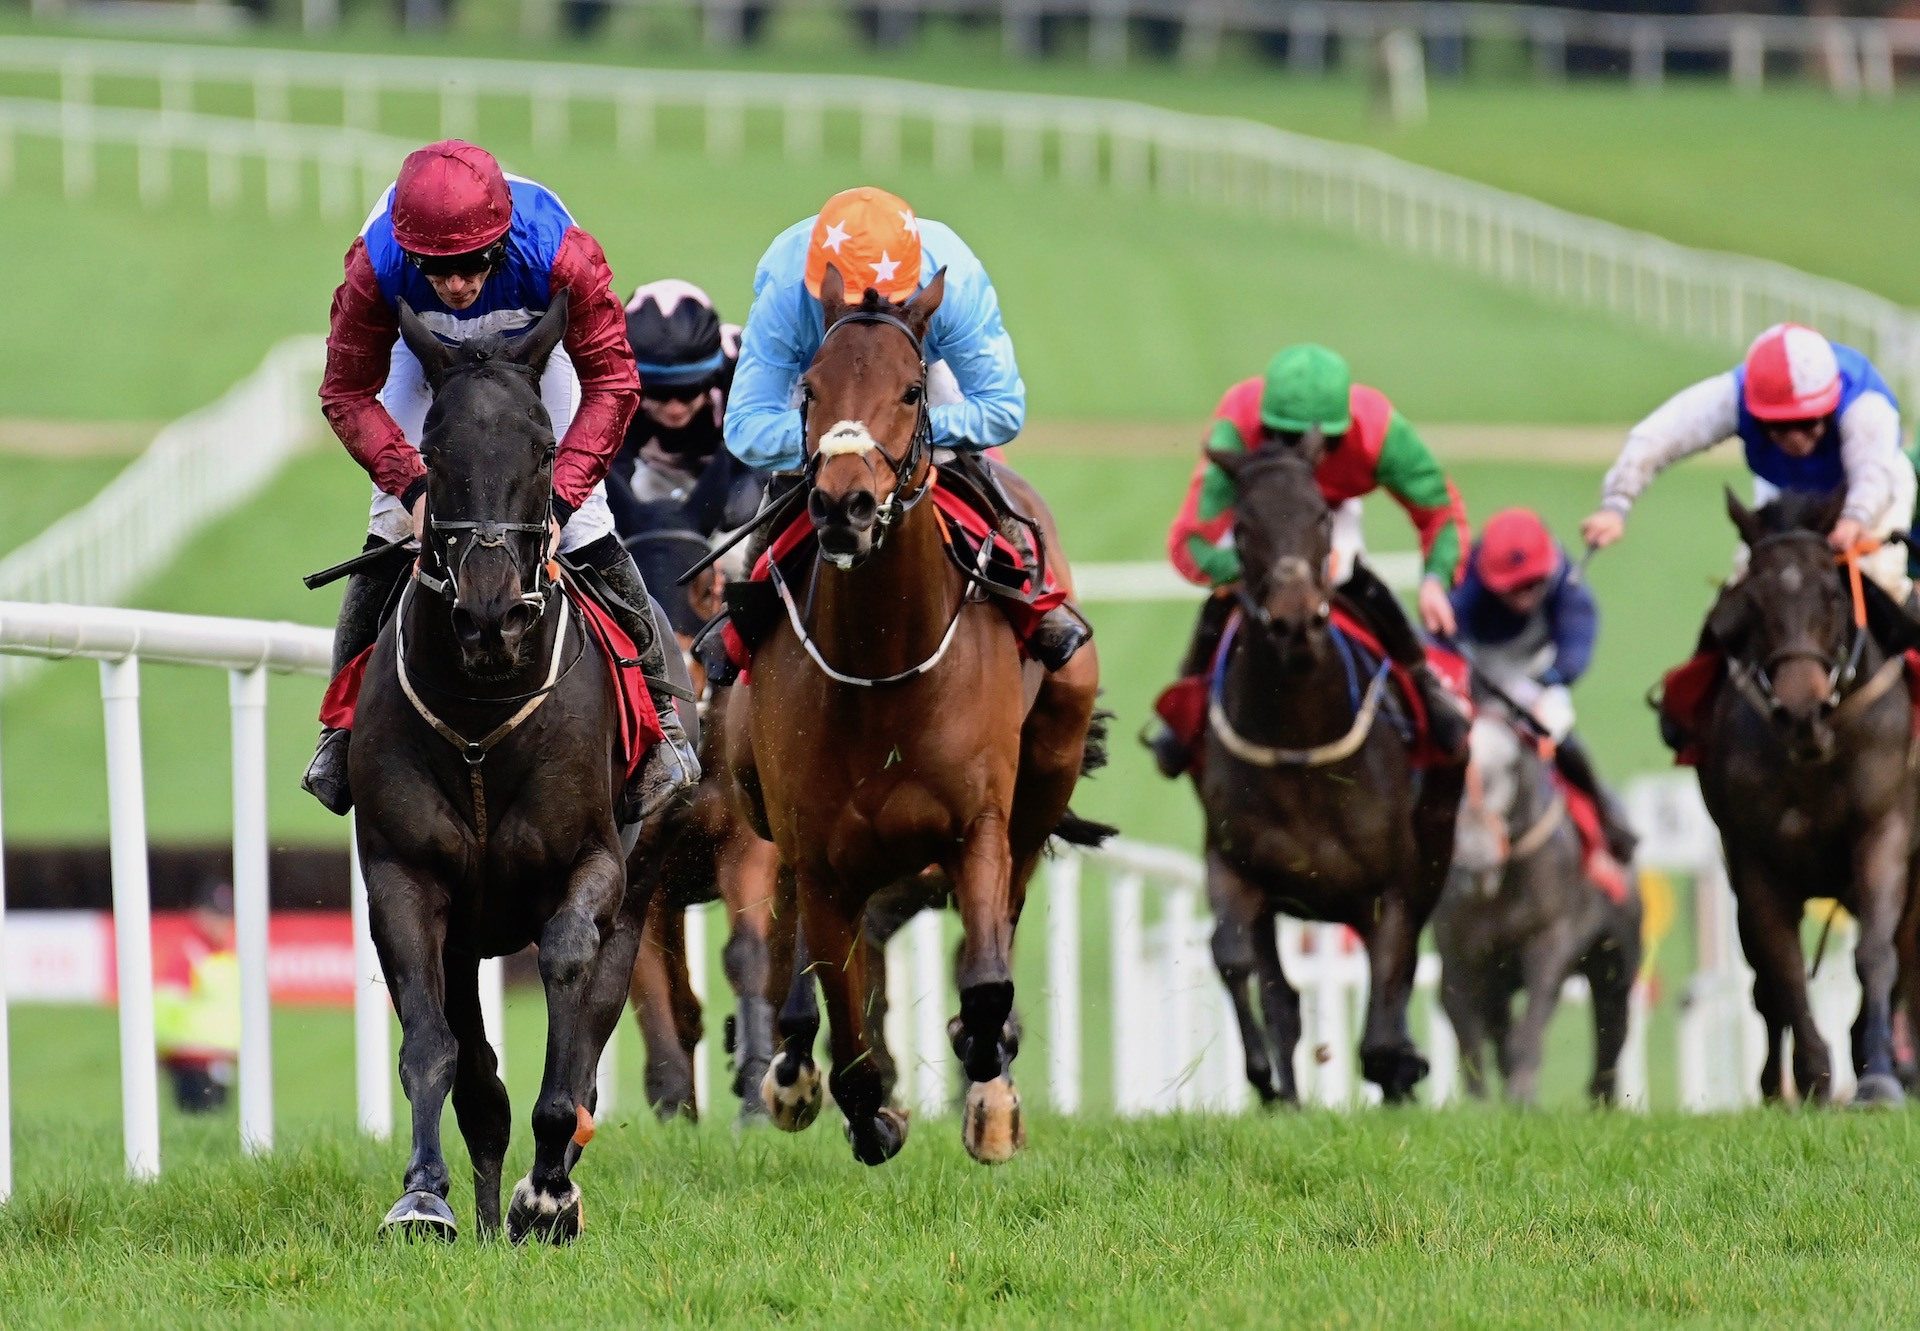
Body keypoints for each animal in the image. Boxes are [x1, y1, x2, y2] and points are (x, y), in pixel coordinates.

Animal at [353, 295, 637, 1244]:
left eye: (545, 448)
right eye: (433, 452)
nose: (490, 617)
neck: (481, 719)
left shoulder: (594, 862)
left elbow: (568, 972)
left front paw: (546, 1191)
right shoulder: (405, 877)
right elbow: (434, 1049)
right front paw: (424, 1196)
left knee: (593, 1022)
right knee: (476, 1071)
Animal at [725, 272, 1105, 1160]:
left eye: (909, 389)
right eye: (809, 388)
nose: (845, 506)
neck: (881, 669)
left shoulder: (977, 824)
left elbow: (990, 979)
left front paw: (990, 1092)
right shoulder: (821, 852)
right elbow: (847, 1025)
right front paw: (866, 1111)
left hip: (1047, 765)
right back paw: (791, 1063)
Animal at [1198, 443, 1451, 1098]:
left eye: (1320, 516)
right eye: (1242, 527)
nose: (1294, 624)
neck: (1299, 746)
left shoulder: (1392, 891)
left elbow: (1385, 1023)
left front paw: (1401, 1065)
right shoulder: (1235, 865)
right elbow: (1234, 958)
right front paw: (1265, 1078)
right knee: (1282, 998)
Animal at [1436, 699, 1643, 1106]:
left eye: (1510, 766)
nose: (1473, 858)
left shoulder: (1550, 941)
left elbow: (1531, 1020)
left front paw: (1522, 1096)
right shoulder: (1458, 953)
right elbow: (1467, 1030)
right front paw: (1479, 1104)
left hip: (1617, 958)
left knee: (1613, 1025)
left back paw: (1604, 1099)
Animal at [1704, 487, 1912, 1098]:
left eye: (1835, 596)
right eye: (1751, 602)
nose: (1803, 714)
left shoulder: (1885, 830)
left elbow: (1876, 953)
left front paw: (1877, 1075)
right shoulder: (1752, 858)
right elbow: (1783, 966)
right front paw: (1813, 1075)